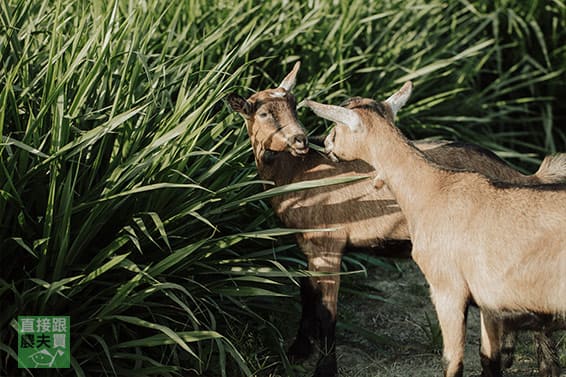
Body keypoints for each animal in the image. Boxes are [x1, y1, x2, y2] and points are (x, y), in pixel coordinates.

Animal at [229, 63, 564, 374]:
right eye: (263, 113)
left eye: (294, 105)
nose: (302, 140)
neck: (302, 172)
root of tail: (526, 176)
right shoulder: (306, 244)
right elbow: (306, 292)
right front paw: (298, 349)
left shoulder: (329, 244)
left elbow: (327, 311)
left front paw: (324, 368)